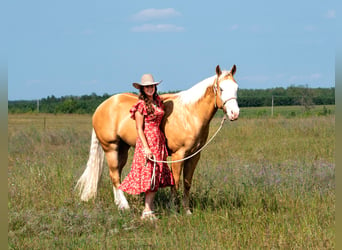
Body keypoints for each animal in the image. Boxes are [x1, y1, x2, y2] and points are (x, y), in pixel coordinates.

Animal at [76, 64, 239, 215]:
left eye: (236, 88)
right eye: (221, 89)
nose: (234, 113)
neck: (189, 114)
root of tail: (101, 107)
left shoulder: (194, 155)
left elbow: (187, 183)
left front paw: (187, 211)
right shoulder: (178, 155)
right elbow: (175, 183)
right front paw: (174, 209)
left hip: (122, 149)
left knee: (116, 175)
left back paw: (119, 204)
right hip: (111, 148)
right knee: (115, 175)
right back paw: (125, 206)